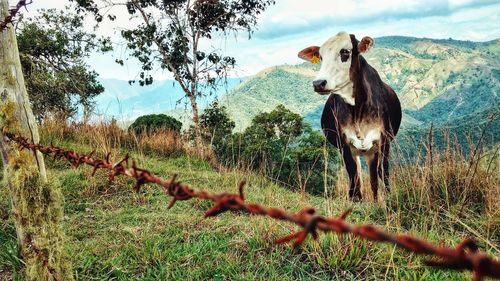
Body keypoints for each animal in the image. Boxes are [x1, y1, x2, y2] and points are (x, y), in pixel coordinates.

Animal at [296, 31, 402, 200]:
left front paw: (386, 198)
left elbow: (382, 172)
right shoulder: (344, 143)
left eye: (345, 51)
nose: (318, 83)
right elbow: (353, 174)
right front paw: (356, 199)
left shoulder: (384, 140)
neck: (358, 109)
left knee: (374, 177)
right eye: (321, 57)